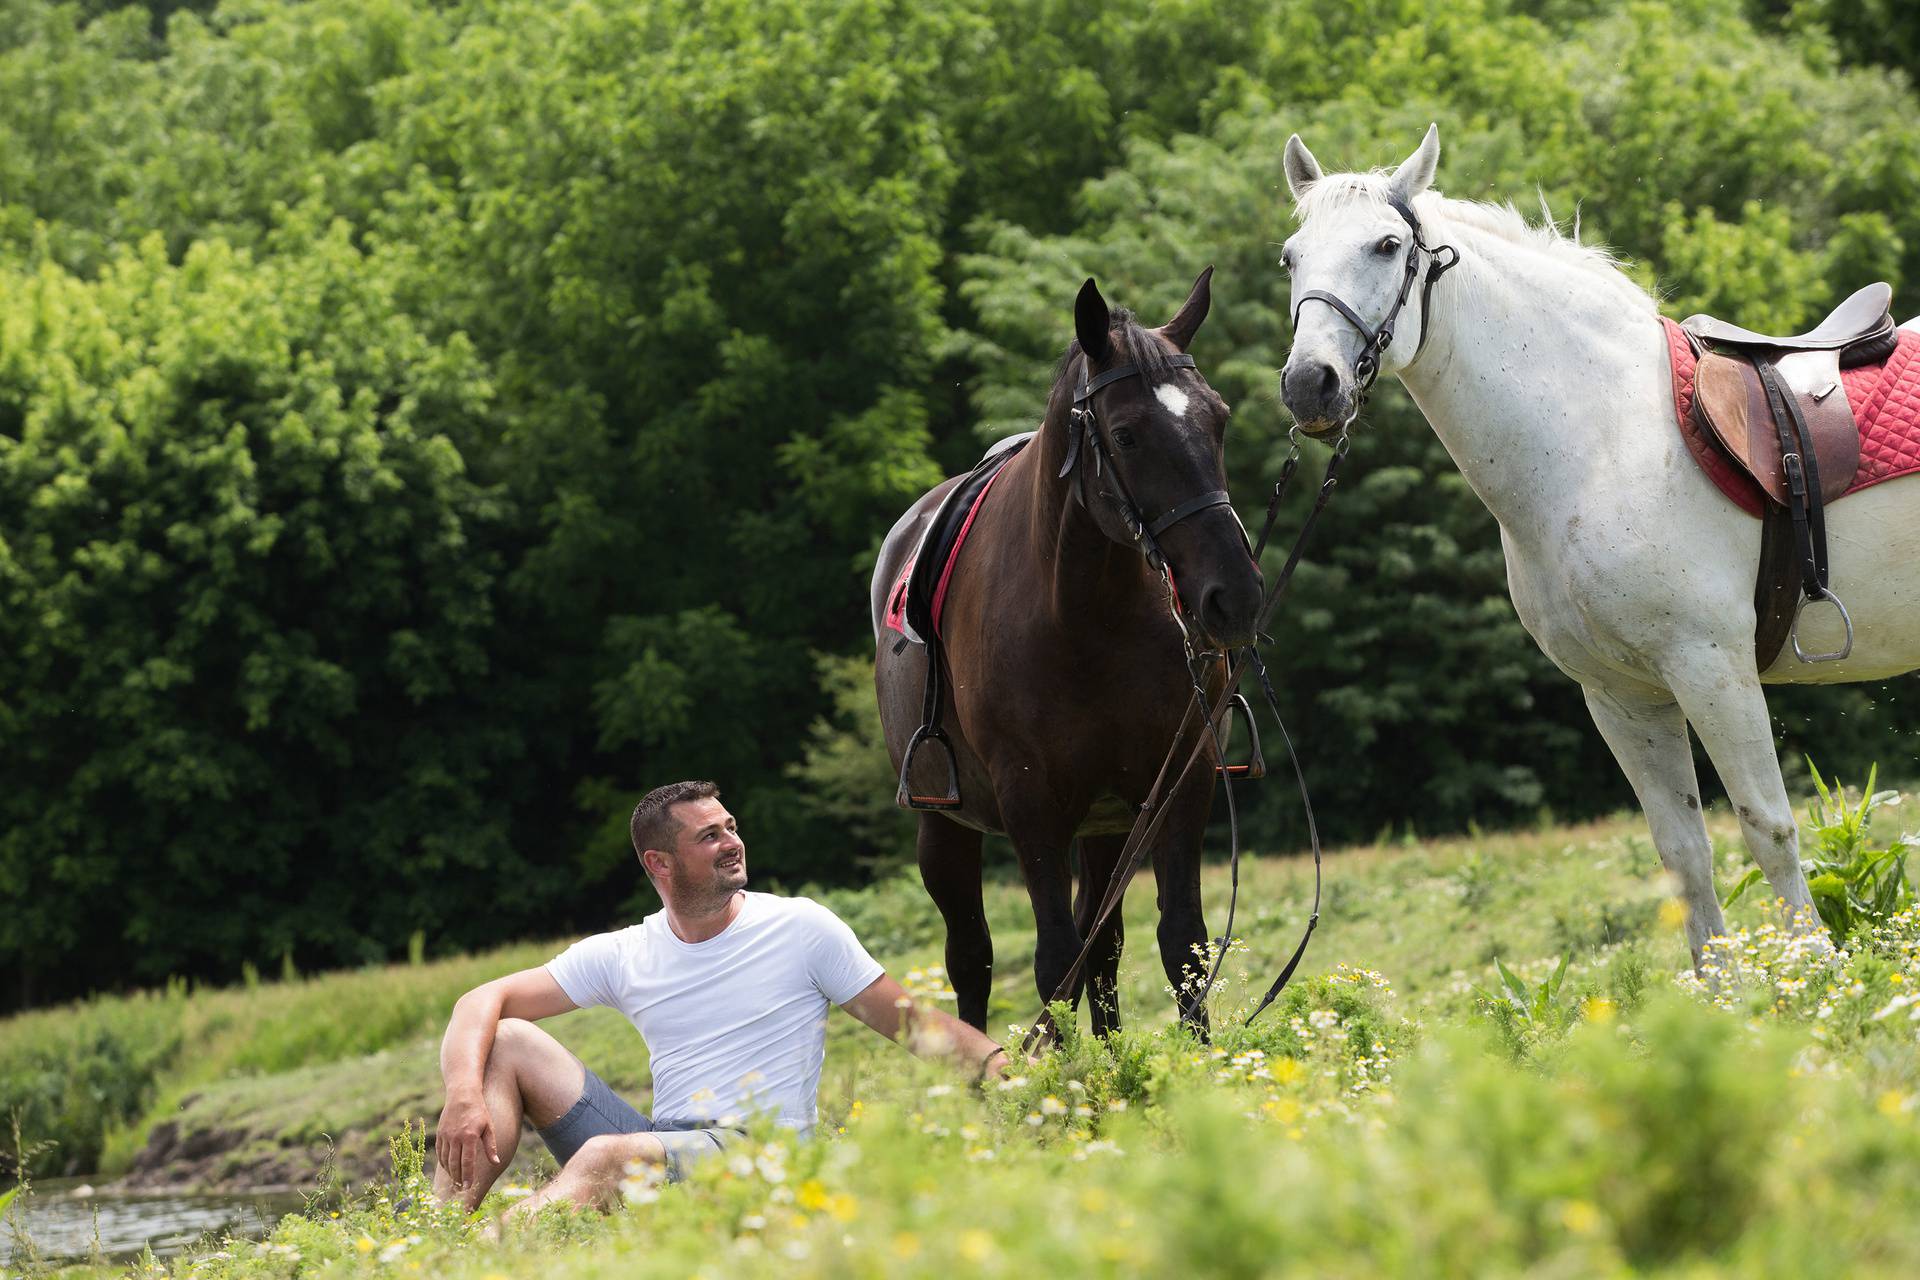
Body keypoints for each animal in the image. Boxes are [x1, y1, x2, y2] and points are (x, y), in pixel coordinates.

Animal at [871, 272, 1259, 1043]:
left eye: (1219, 420)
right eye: (1127, 434)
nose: (1234, 595)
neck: (1086, 614)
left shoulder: (1180, 782)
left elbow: (1183, 943)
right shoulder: (1031, 802)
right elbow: (1052, 959)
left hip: (1107, 823)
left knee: (1101, 948)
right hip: (944, 828)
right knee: (974, 957)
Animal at [1274, 127, 1920, 959]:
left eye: (1387, 246)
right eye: (1291, 256)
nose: (1309, 386)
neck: (1601, 434)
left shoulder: (1713, 671)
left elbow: (1768, 829)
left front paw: (1809, 972)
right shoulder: (1622, 696)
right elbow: (1684, 856)